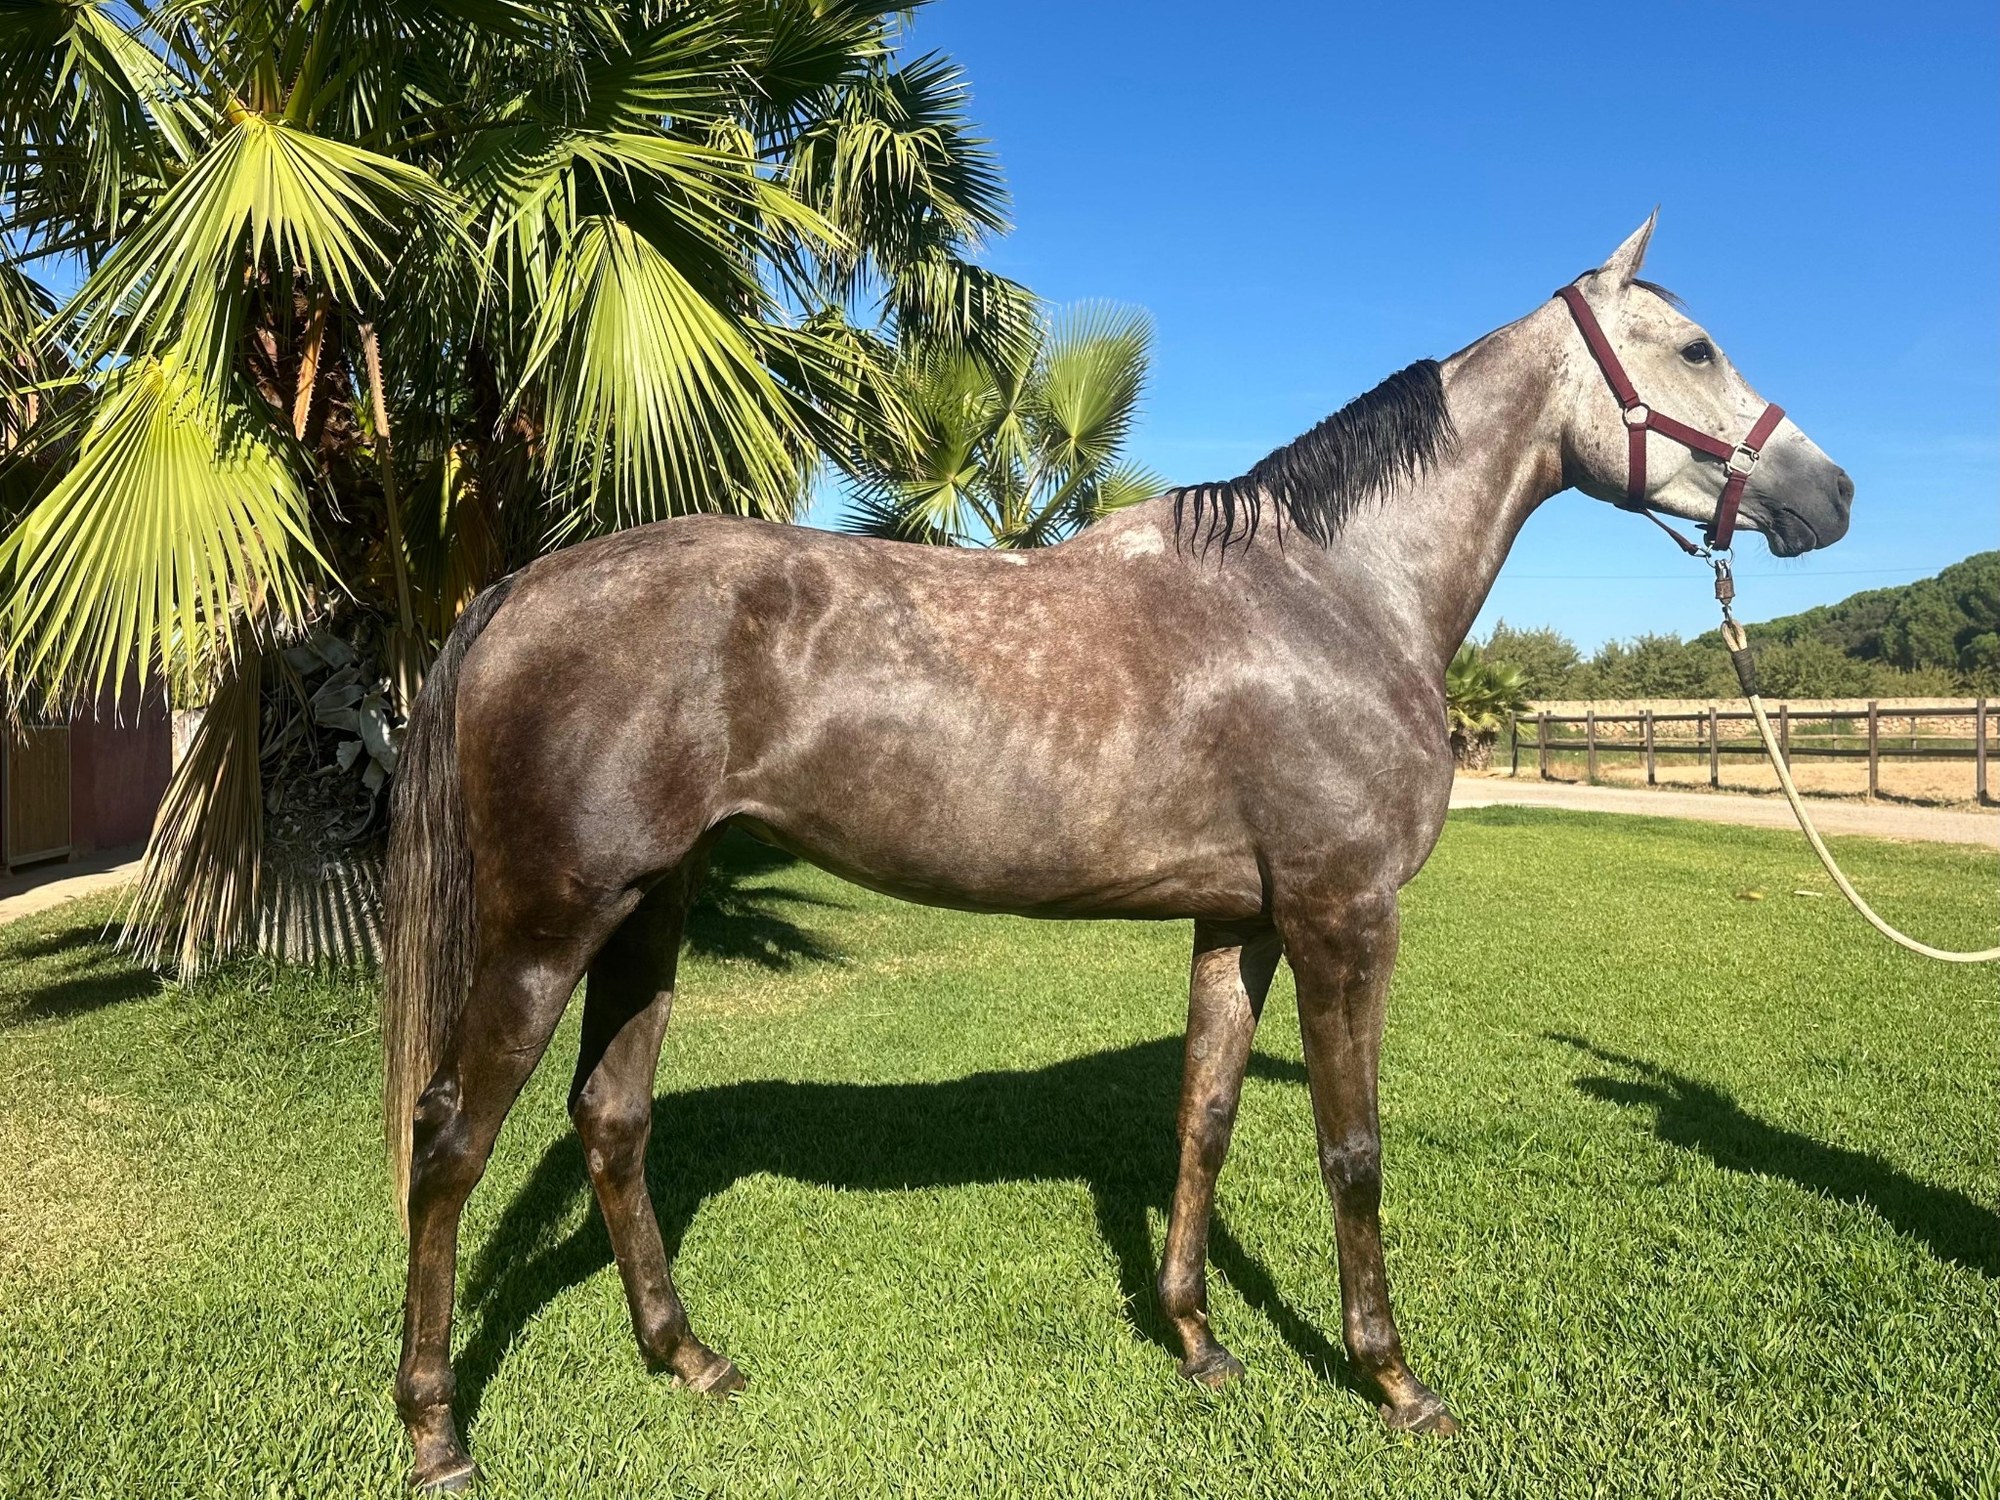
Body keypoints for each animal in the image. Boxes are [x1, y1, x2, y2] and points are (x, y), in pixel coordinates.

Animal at [381, 214, 1853, 1490]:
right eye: (1696, 349)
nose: (1829, 491)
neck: (1330, 594)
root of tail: (520, 588)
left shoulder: (1240, 922)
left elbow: (1203, 1118)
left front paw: (1197, 1340)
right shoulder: (1343, 915)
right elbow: (1351, 1147)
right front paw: (1393, 1381)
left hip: (649, 906)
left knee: (609, 1119)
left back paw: (686, 1357)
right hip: (549, 924)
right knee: (450, 1138)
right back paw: (437, 1433)